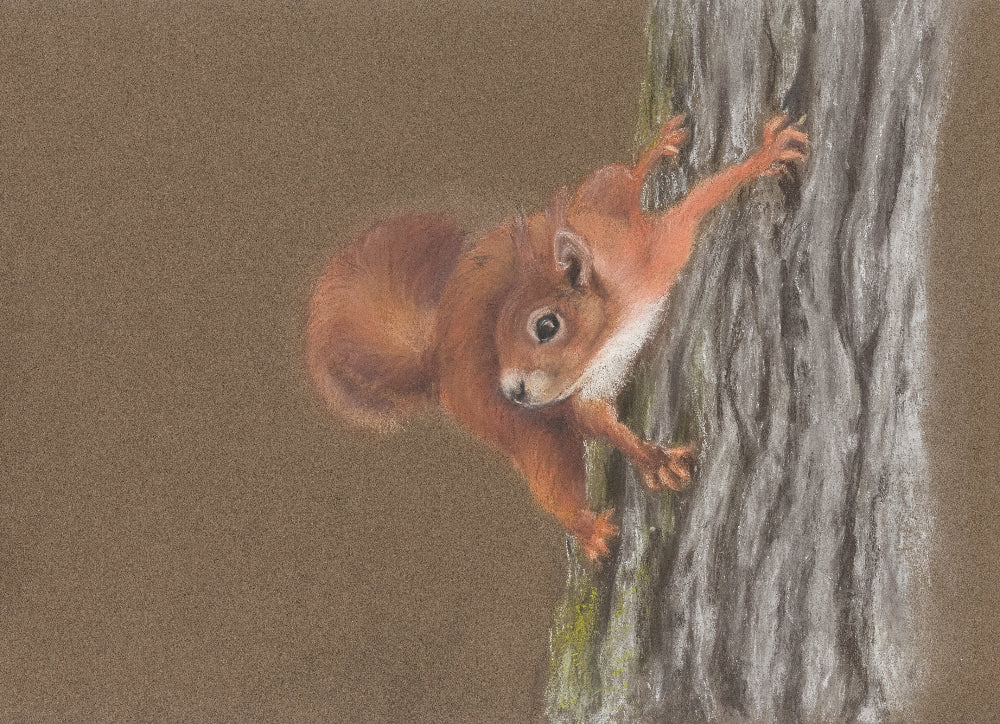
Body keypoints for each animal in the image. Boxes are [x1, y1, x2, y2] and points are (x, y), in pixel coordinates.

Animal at [306, 113, 808, 561]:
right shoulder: (587, 383)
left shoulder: (655, 252)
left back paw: (655, 149)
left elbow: (705, 196)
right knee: (549, 477)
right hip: (519, 428)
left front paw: (761, 157)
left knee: (614, 179)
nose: (513, 390)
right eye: (496, 337)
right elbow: (594, 420)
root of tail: (437, 363)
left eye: (546, 326)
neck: (610, 331)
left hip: (603, 211)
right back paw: (588, 531)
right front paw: (652, 459)